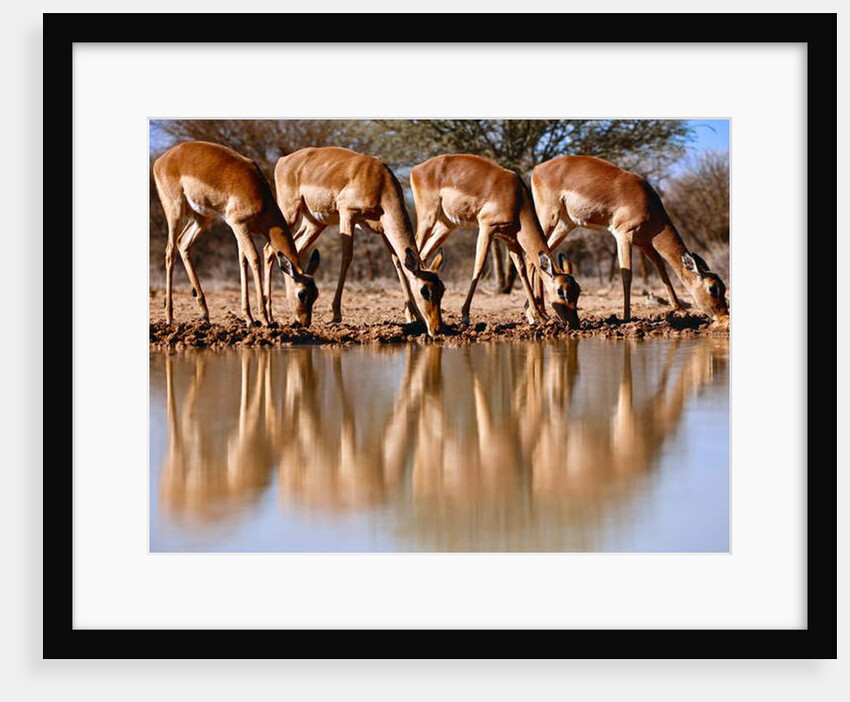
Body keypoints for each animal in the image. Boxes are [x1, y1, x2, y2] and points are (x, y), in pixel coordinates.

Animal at [153, 140, 320, 327]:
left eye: (316, 293)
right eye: (301, 293)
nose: (305, 322)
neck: (260, 196)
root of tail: (162, 159)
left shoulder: (240, 229)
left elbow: (242, 262)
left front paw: (249, 318)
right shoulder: (239, 225)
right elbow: (254, 259)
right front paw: (264, 319)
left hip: (202, 218)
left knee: (183, 243)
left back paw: (204, 314)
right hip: (175, 212)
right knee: (170, 251)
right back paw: (169, 316)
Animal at [268, 146, 445, 336]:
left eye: (442, 289)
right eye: (424, 290)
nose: (437, 329)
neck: (380, 182)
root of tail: (283, 160)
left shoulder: (384, 229)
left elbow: (398, 263)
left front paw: (414, 316)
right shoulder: (348, 214)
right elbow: (346, 258)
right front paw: (336, 315)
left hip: (314, 224)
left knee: (292, 250)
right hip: (289, 213)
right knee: (268, 250)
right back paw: (269, 317)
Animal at [410, 154, 581, 328]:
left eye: (578, 291)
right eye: (561, 291)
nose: (574, 323)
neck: (517, 199)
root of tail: (417, 168)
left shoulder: (511, 240)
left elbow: (522, 272)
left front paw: (537, 316)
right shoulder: (487, 228)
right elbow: (478, 268)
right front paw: (465, 316)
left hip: (446, 226)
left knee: (423, 255)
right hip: (428, 218)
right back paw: (411, 317)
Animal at [531, 155, 729, 322]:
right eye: (713, 288)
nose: (723, 315)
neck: (648, 204)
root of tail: (537, 168)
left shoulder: (644, 243)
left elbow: (661, 268)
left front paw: (680, 309)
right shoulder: (623, 235)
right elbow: (627, 275)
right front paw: (626, 317)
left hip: (566, 224)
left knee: (539, 257)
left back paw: (541, 312)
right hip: (548, 217)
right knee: (529, 255)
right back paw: (538, 314)